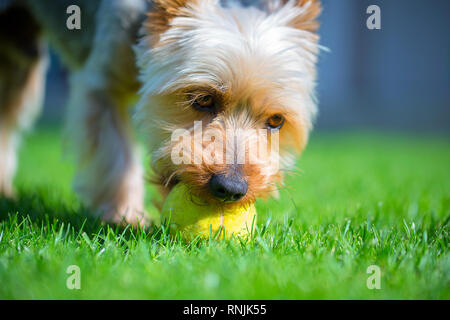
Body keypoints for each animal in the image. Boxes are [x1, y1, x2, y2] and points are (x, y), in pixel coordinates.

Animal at [0, 0, 324, 226]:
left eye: (276, 121)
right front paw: (124, 216)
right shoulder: (101, 86)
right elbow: (115, 155)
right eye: (203, 99)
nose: (231, 188)